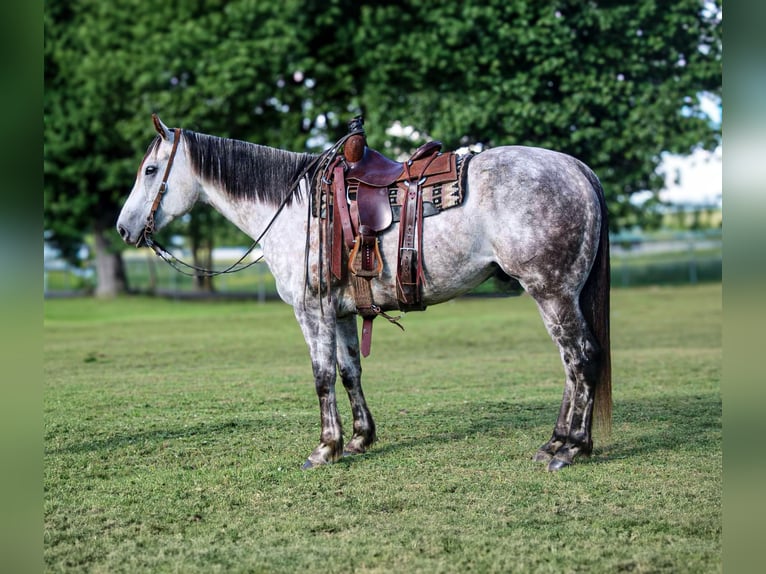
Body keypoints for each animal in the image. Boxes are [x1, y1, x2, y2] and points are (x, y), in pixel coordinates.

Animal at [116, 115, 611, 472]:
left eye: (151, 170)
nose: (123, 227)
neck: (295, 209)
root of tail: (575, 167)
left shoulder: (311, 311)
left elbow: (321, 376)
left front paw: (324, 448)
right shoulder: (340, 312)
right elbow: (350, 371)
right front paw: (358, 438)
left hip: (551, 292)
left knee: (581, 358)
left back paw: (571, 448)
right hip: (557, 294)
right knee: (571, 364)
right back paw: (554, 442)